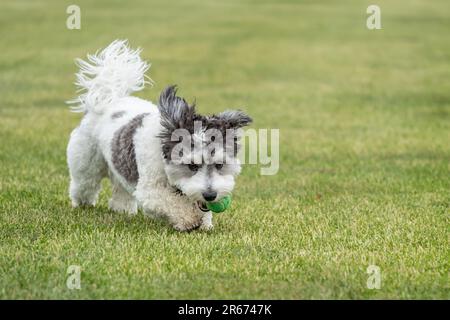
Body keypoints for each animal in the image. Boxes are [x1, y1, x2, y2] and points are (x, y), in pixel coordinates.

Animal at [66, 40, 251, 231]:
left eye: (220, 164)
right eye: (191, 165)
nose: (210, 195)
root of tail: (111, 100)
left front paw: (205, 223)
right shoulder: (150, 190)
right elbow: (171, 203)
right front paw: (188, 219)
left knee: (121, 191)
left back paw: (122, 209)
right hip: (85, 163)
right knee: (84, 184)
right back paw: (82, 204)